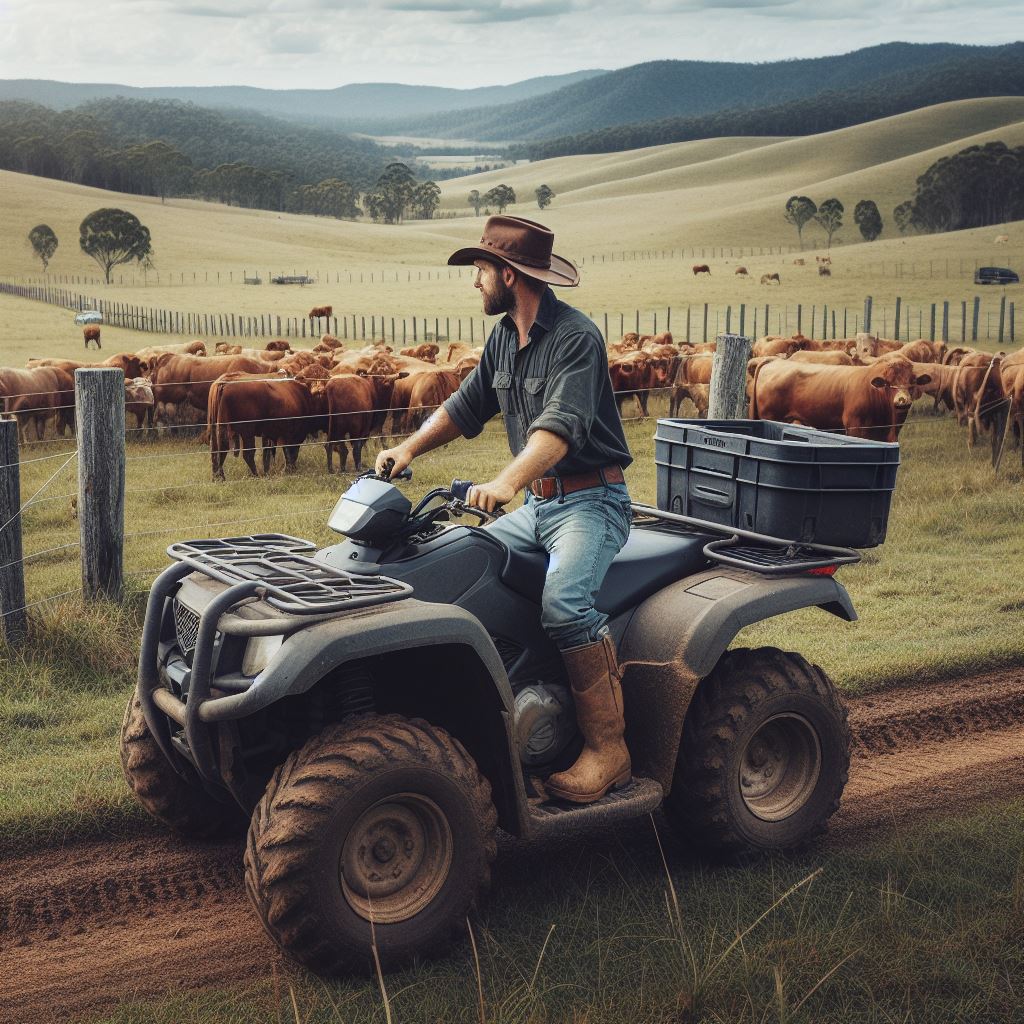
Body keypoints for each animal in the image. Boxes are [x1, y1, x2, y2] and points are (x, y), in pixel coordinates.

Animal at [753, 356, 929, 440]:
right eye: (888, 382)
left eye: (913, 381)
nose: (902, 400)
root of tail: (774, 361)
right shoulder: (855, 427)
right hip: (771, 416)